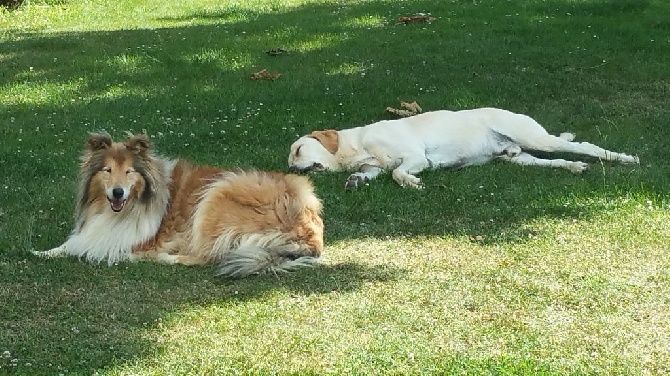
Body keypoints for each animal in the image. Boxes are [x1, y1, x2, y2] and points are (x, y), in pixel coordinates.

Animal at [36, 134, 326, 278]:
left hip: (218, 194)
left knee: (206, 256)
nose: (118, 192)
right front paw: (43, 252)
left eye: (130, 171)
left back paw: (166, 257)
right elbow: (71, 244)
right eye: (107, 170)